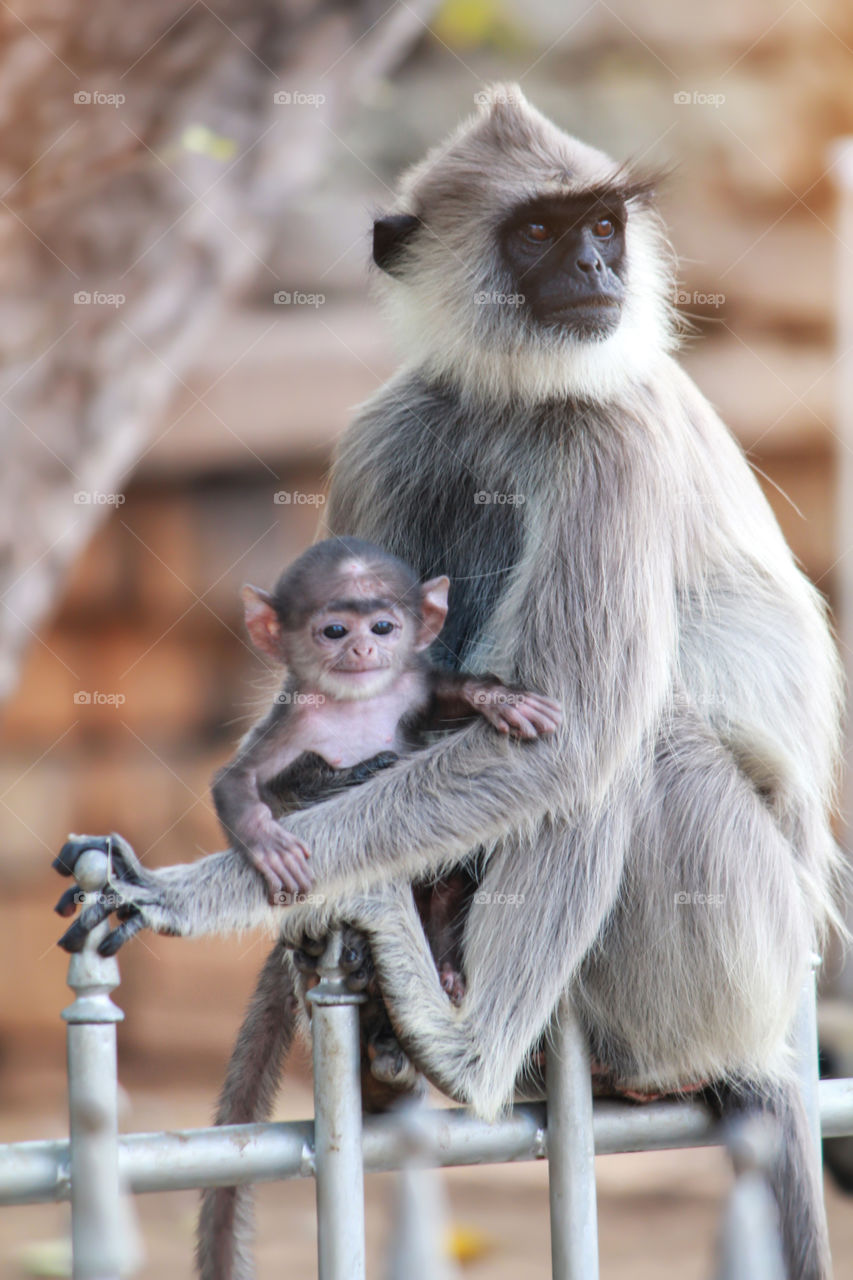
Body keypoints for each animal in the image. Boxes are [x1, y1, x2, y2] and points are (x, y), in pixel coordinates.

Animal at [56, 85, 840, 1274]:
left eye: (601, 224)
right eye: (538, 232)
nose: (596, 269)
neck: (515, 391)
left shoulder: (611, 435)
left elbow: (570, 738)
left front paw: (194, 892)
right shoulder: (396, 423)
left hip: (743, 943)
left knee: (632, 749)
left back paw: (462, 1050)